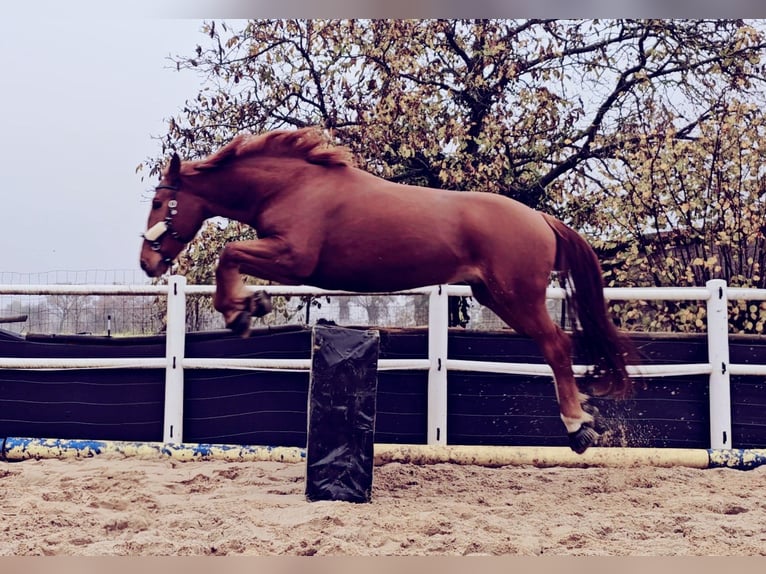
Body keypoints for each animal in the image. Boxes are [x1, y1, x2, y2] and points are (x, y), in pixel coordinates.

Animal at [140, 126, 634, 454]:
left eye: (160, 202)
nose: (147, 262)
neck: (293, 185)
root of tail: (539, 219)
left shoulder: (293, 257)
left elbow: (228, 254)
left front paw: (239, 310)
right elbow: (232, 257)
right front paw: (249, 304)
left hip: (517, 297)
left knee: (557, 346)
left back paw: (578, 426)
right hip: (494, 297)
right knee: (556, 346)